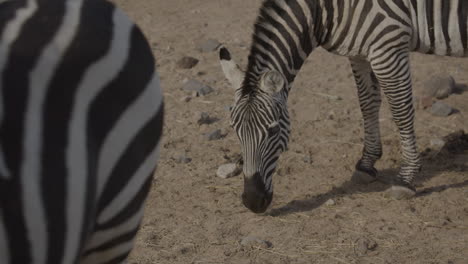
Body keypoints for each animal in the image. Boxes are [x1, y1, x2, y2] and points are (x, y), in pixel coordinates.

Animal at [219, 0, 468, 213]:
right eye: (235, 130)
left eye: (273, 131)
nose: (252, 202)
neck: (325, 10)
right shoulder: (360, 52)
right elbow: (367, 103)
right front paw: (367, 164)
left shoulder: (388, 47)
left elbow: (401, 111)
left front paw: (406, 178)